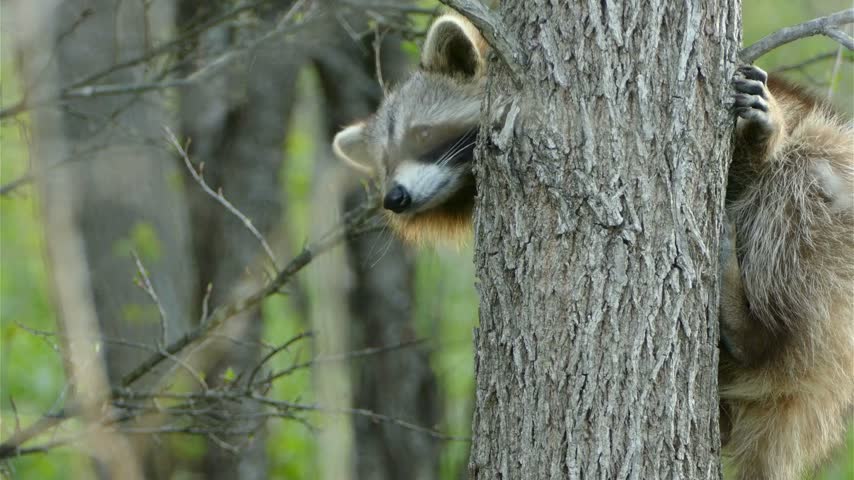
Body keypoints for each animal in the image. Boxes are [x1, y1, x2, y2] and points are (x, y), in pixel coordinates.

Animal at [333, 14, 854, 480]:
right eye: (384, 163)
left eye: (421, 134)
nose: (394, 198)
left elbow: (759, 158)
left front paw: (760, 138)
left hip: (833, 231)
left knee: (803, 180)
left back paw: (753, 330)